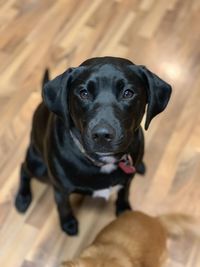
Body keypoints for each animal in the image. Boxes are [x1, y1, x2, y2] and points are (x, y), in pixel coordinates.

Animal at [15, 56, 172, 234]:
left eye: (128, 93)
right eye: (83, 93)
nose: (102, 135)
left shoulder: (127, 180)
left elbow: (124, 193)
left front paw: (124, 209)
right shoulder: (60, 189)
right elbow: (64, 206)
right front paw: (68, 223)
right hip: (40, 169)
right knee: (23, 168)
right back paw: (22, 197)